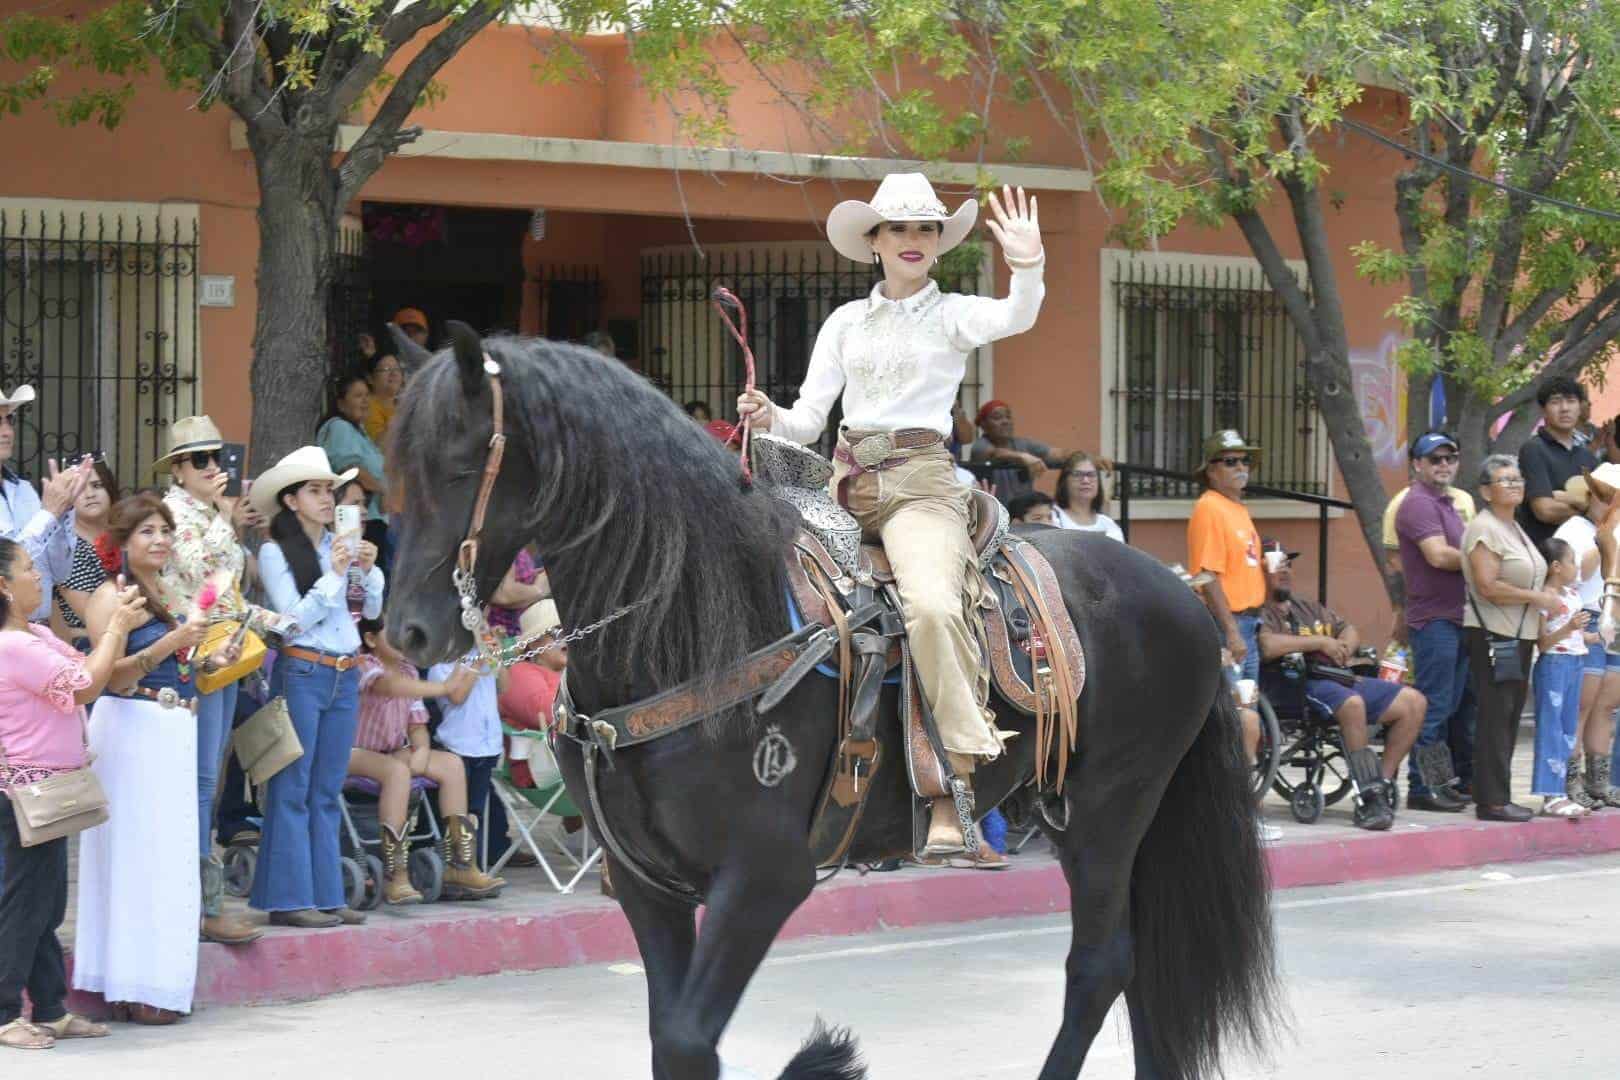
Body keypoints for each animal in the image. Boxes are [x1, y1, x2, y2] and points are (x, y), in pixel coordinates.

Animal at [382, 327, 1276, 1080]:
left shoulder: (764, 876)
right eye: (399, 473)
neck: (686, 633)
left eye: (459, 466)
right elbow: (674, 1044)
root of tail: (1187, 599)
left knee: (1101, 967)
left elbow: (688, 1040)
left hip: (1111, 810)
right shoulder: (647, 884)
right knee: (1137, 968)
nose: (407, 632)